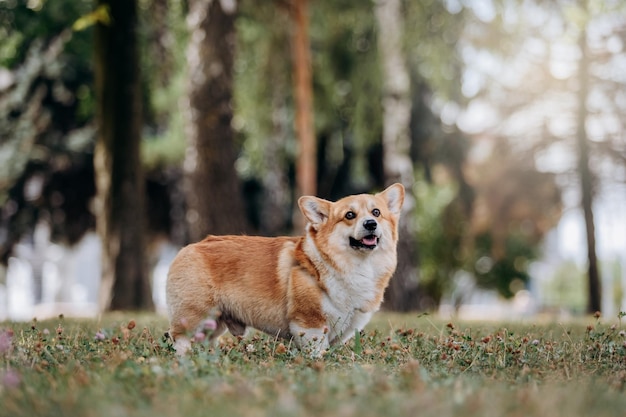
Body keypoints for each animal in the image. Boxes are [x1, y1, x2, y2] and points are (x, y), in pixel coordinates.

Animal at [163, 182, 402, 354]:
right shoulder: (309, 324)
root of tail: (188, 248)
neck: (356, 265)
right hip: (195, 314)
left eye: (376, 212)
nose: (370, 224)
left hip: (214, 322)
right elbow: (316, 350)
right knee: (180, 337)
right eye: (349, 215)